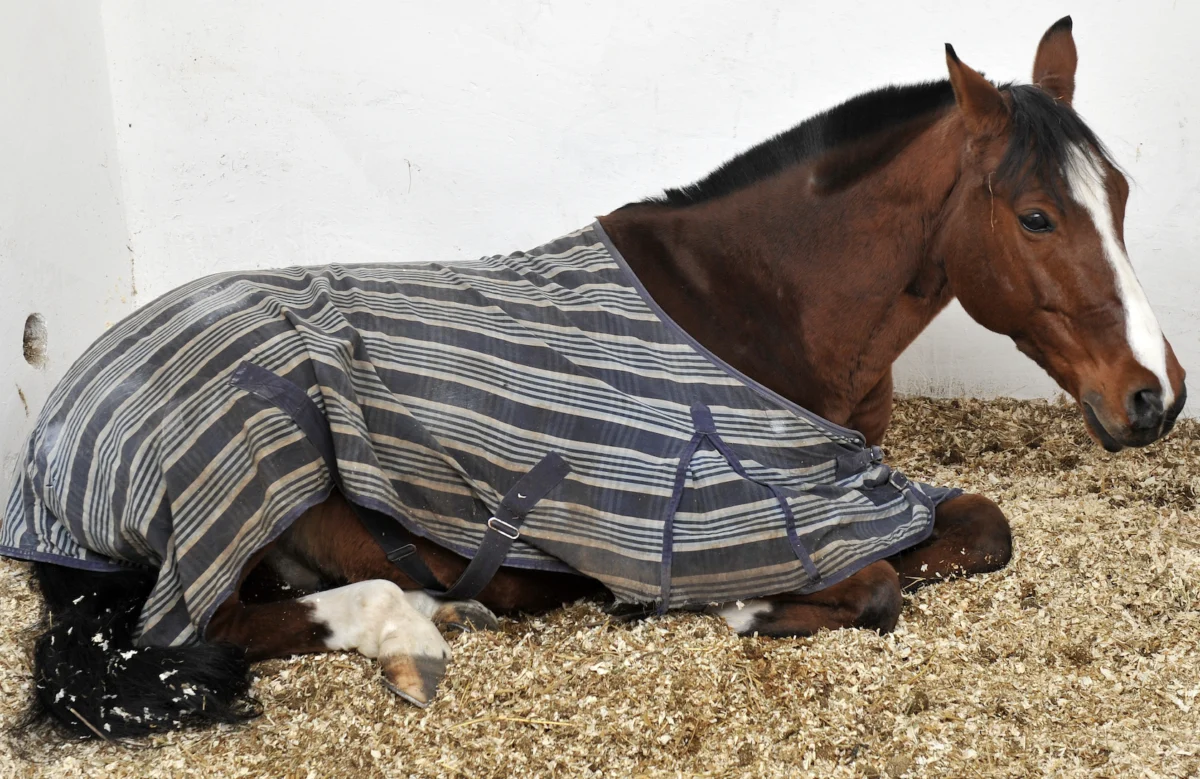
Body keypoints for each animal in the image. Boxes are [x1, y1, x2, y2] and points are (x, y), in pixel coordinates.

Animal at [8, 17, 1186, 740]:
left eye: (1122, 193)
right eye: (1035, 216)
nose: (1154, 394)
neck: (754, 303)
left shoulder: (862, 484)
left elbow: (985, 528)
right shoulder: (736, 520)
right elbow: (876, 588)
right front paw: (752, 607)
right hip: (248, 481)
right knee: (204, 627)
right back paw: (422, 616)